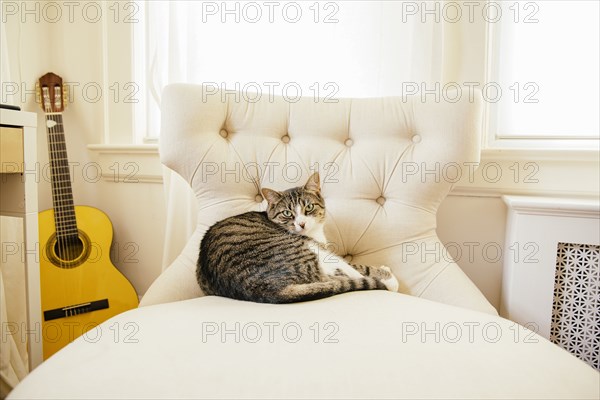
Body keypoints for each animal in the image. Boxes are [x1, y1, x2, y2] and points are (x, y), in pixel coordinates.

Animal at [197, 172, 400, 304]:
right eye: (287, 213)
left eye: (309, 207)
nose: (301, 223)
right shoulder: (323, 250)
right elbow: (359, 267)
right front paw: (386, 275)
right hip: (310, 252)